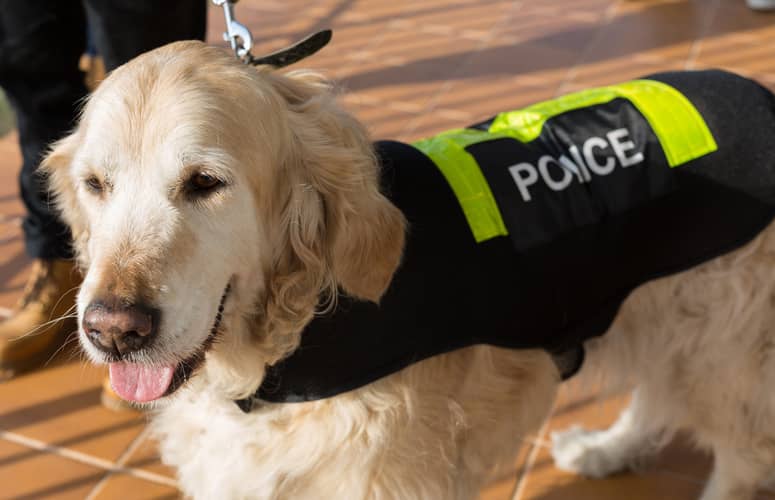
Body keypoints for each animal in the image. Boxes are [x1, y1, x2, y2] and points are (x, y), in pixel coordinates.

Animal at [41, 40, 775, 500]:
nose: (113, 331)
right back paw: (605, 450)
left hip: (722, 350)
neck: (293, 336)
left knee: (743, 456)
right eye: (96, 184)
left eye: (204, 182)